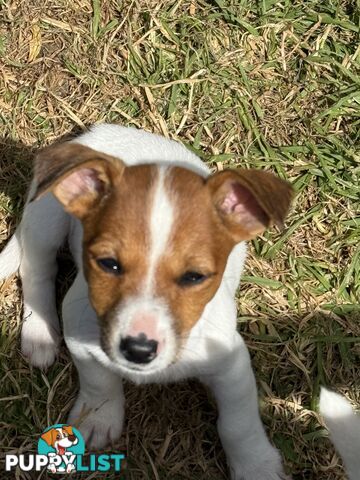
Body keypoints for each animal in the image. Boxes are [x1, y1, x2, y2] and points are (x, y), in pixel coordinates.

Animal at [0, 124, 292, 480]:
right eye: (108, 264)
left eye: (194, 276)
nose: (138, 350)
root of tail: (95, 130)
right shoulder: (81, 337)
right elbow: (100, 383)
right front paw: (99, 418)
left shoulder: (231, 365)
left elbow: (239, 423)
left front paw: (255, 466)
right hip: (47, 215)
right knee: (37, 268)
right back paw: (40, 334)